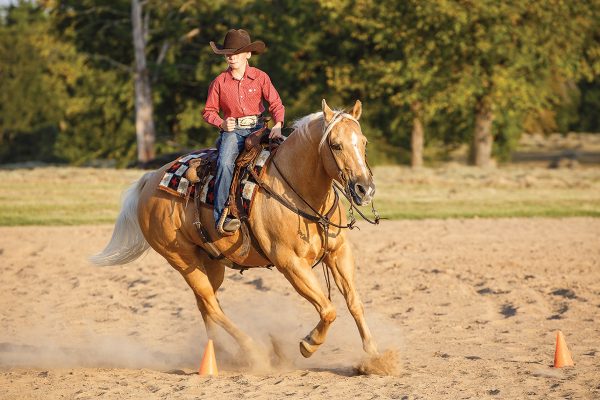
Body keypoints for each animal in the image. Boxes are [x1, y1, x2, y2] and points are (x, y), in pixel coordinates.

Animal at [91, 98, 378, 364]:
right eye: (336, 145)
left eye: (364, 142)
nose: (365, 189)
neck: (296, 187)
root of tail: (150, 180)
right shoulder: (291, 263)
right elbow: (328, 309)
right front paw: (309, 344)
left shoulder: (339, 253)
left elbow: (354, 302)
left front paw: (375, 355)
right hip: (182, 259)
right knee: (210, 304)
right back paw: (253, 351)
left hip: (210, 261)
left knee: (206, 305)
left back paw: (221, 353)